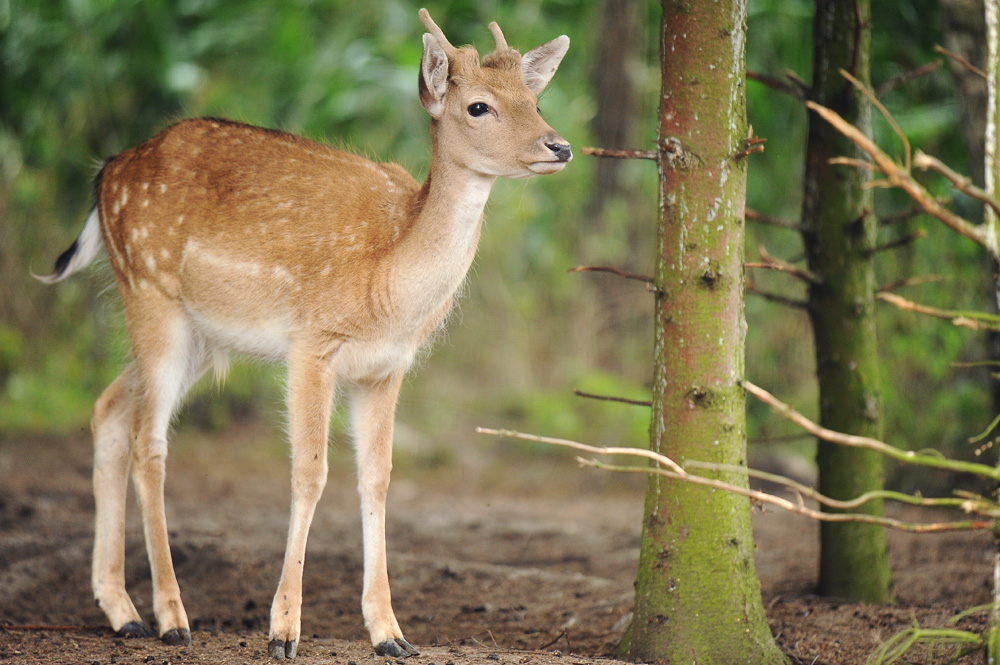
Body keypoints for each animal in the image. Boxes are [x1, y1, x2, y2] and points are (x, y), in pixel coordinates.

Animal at [37, 9, 572, 660]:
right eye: (478, 106)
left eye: (535, 98)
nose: (560, 145)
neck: (389, 279)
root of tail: (104, 175)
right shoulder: (311, 344)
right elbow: (310, 474)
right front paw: (284, 630)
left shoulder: (385, 368)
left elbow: (377, 480)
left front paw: (389, 633)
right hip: (150, 292)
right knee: (150, 443)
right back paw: (171, 618)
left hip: (200, 337)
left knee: (109, 408)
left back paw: (123, 611)